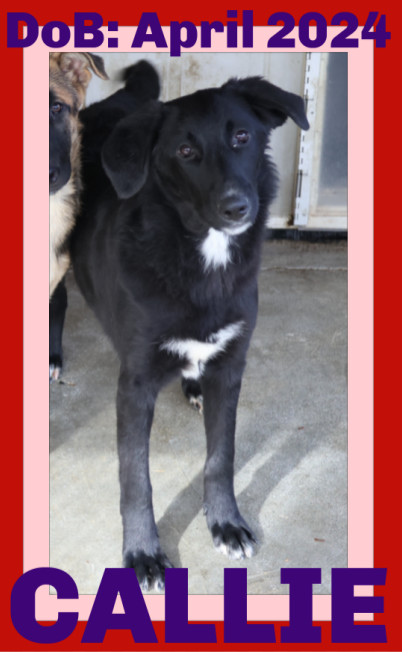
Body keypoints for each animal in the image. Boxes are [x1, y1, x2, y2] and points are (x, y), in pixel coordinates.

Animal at [70, 61, 308, 592]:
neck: (201, 259)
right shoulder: (135, 385)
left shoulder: (231, 367)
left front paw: (225, 522)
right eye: (185, 152)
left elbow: (221, 457)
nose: (238, 208)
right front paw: (142, 553)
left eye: (242, 136)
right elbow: (135, 479)